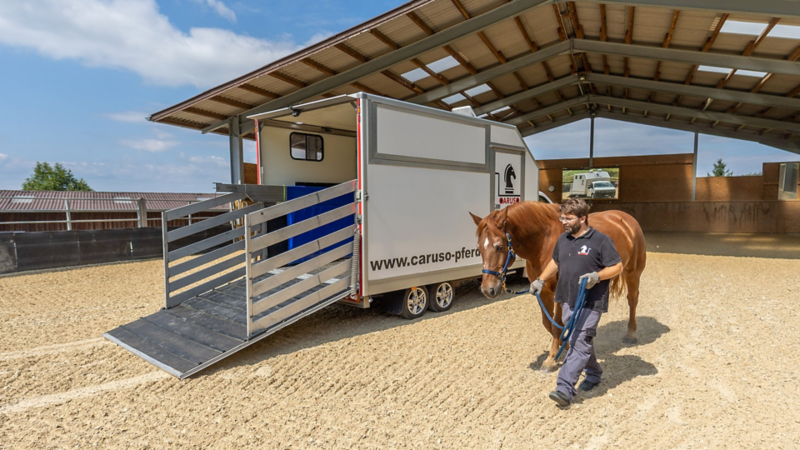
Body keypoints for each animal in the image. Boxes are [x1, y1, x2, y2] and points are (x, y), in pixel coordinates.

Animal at [469, 201, 647, 372]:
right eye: (479, 248)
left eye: (499, 246)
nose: (487, 289)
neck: (543, 244)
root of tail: (626, 219)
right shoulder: (542, 292)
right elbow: (549, 323)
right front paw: (565, 345)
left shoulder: (559, 292)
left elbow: (556, 323)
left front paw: (551, 359)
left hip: (632, 272)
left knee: (632, 300)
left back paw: (630, 334)